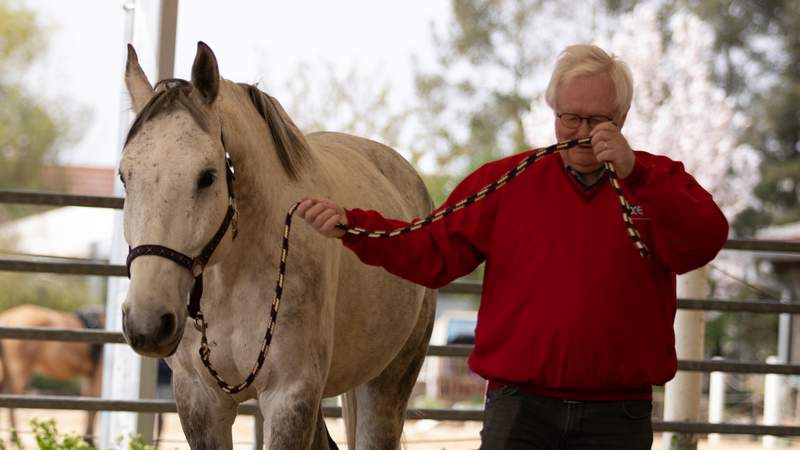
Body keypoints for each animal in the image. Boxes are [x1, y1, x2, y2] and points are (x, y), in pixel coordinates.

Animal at [0, 304, 103, 442]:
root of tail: (7, 318)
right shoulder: (98, 371)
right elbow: (94, 403)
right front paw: (89, 439)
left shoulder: (88, 374)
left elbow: (88, 401)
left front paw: (87, 437)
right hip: (19, 371)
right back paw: (15, 437)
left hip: (7, 370)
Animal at [119, 43, 438, 450]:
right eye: (124, 176)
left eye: (207, 176)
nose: (147, 322)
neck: (233, 276)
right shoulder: (199, 399)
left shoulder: (291, 395)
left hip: (389, 382)